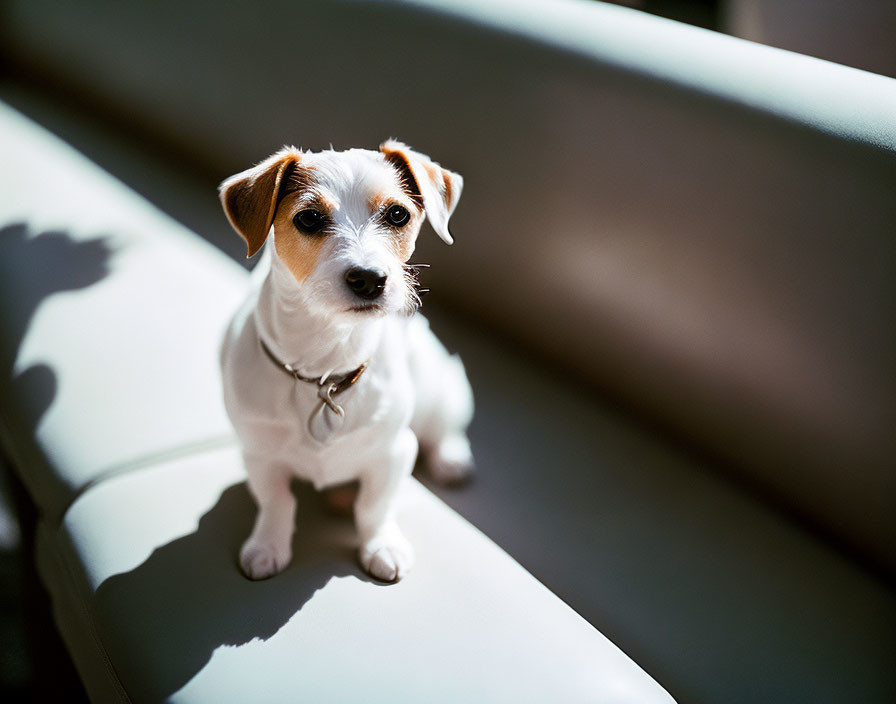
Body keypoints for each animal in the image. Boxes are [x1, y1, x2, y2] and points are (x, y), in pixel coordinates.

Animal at [218, 139, 476, 584]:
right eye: (308, 217)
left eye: (397, 214)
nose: (370, 278)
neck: (325, 366)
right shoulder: (259, 456)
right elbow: (277, 502)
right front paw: (267, 546)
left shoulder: (395, 451)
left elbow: (374, 506)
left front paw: (382, 545)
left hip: (443, 387)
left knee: (444, 426)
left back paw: (451, 457)